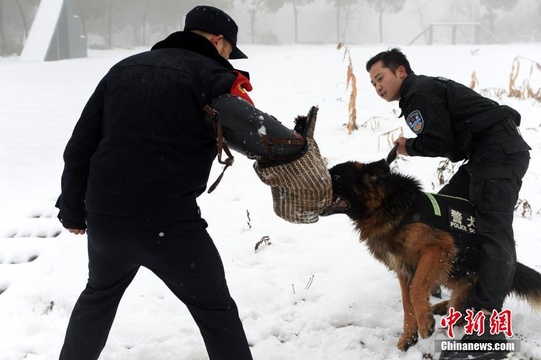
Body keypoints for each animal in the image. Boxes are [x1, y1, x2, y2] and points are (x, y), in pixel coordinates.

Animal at [320, 159, 540, 350]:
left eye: (336, 176)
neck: (385, 204)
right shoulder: (405, 269)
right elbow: (407, 303)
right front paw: (409, 337)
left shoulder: (438, 248)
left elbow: (416, 290)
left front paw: (425, 323)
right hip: (450, 271)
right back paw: (442, 306)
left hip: (457, 268)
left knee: (463, 313)